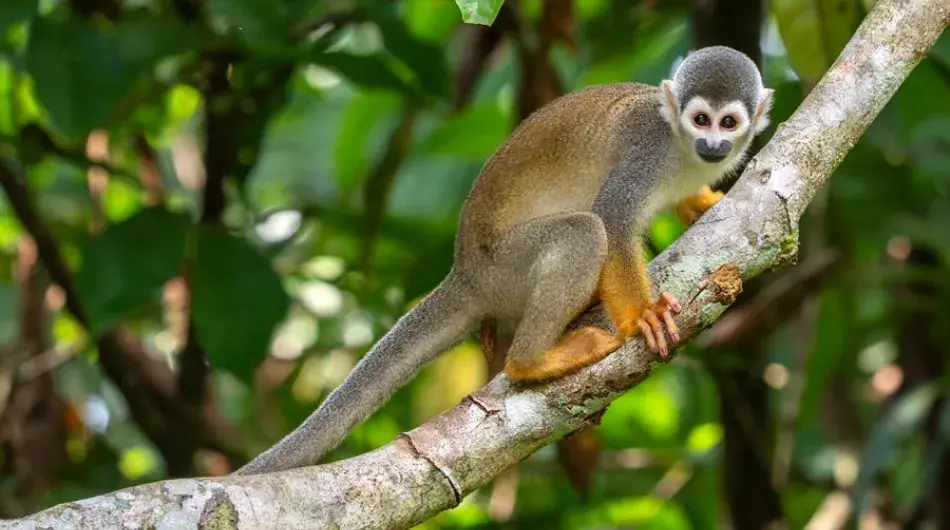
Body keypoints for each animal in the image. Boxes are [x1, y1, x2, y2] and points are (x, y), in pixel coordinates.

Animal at [236, 45, 773, 475]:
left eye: (728, 123)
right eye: (700, 119)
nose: (713, 144)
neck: (681, 151)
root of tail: (466, 272)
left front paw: (703, 203)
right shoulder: (645, 154)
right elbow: (614, 224)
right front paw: (644, 315)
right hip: (505, 267)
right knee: (583, 233)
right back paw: (532, 362)